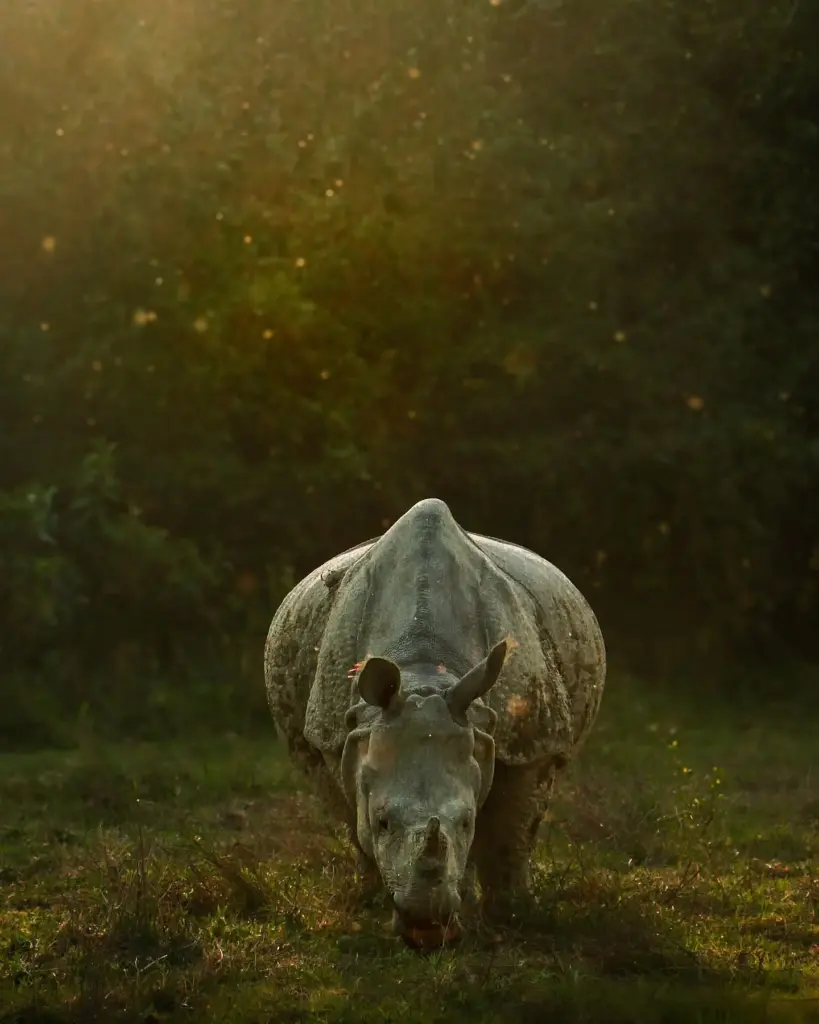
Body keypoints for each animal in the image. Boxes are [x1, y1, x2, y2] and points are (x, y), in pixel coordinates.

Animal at [264, 498, 605, 949]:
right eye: (383, 822)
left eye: (466, 821)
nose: (426, 926)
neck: (423, 672)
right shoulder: (342, 733)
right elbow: (357, 822)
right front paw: (379, 908)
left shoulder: (533, 741)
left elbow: (511, 833)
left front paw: (513, 916)